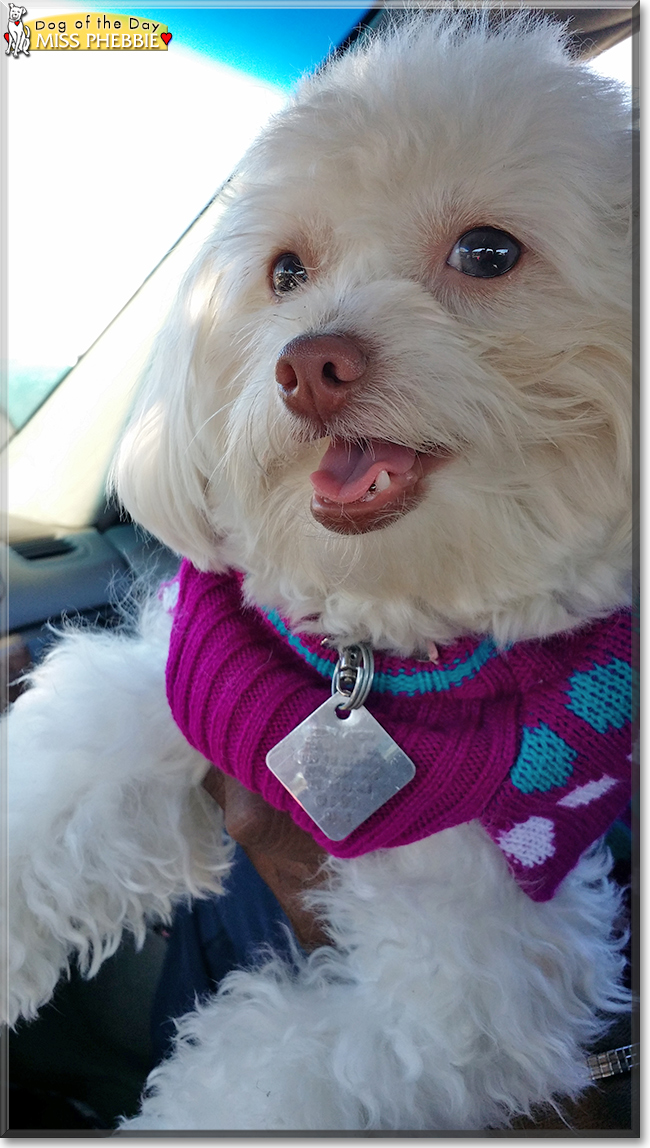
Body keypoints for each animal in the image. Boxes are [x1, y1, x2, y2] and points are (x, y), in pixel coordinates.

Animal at [5, 8, 638, 1134]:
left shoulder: (486, 954)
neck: (375, 652)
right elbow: (52, 793)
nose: (307, 364)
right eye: (285, 272)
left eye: (487, 251)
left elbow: (272, 1073)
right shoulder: (187, 683)